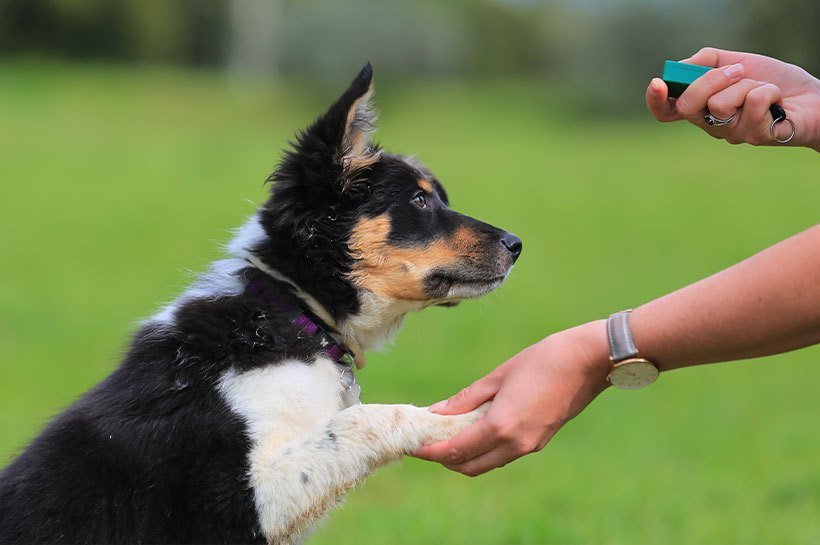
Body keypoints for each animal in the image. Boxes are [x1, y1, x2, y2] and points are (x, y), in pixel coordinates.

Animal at [0, 65, 524, 544]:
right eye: (418, 200)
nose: (516, 244)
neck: (293, 313)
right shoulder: (238, 500)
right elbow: (366, 418)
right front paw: (468, 418)